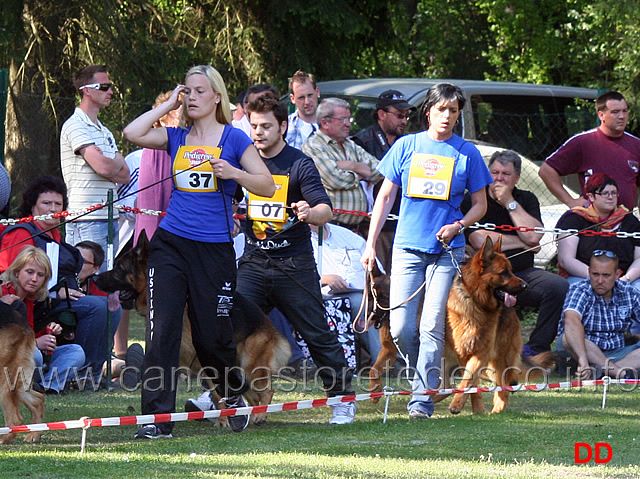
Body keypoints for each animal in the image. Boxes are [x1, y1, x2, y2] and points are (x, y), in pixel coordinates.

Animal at [95, 233, 290, 428]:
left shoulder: (205, 360)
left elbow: (218, 393)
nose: (95, 278)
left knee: (267, 391)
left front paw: (222, 420)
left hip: (249, 365)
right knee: (249, 394)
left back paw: (259, 415)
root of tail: (269, 324)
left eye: (119, 268)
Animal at [370, 237, 556, 416]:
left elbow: (468, 381)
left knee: (502, 386)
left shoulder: (479, 352)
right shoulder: (461, 352)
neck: (475, 300)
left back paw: (496, 408)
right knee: (451, 384)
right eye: (504, 272)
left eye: (509, 271)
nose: (526, 286)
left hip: (497, 358)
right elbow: (374, 368)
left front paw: (460, 405)